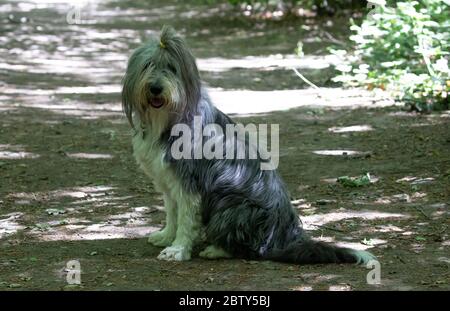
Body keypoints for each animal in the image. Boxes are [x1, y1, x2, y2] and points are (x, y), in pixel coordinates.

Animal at [121, 26, 374, 266]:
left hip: (232, 205)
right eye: (148, 65)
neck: (167, 119)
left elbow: (185, 218)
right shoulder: (168, 181)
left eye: (172, 68)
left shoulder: (190, 184)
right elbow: (172, 214)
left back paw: (215, 250)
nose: (155, 88)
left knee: (248, 248)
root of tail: (286, 236)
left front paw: (178, 249)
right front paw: (166, 236)